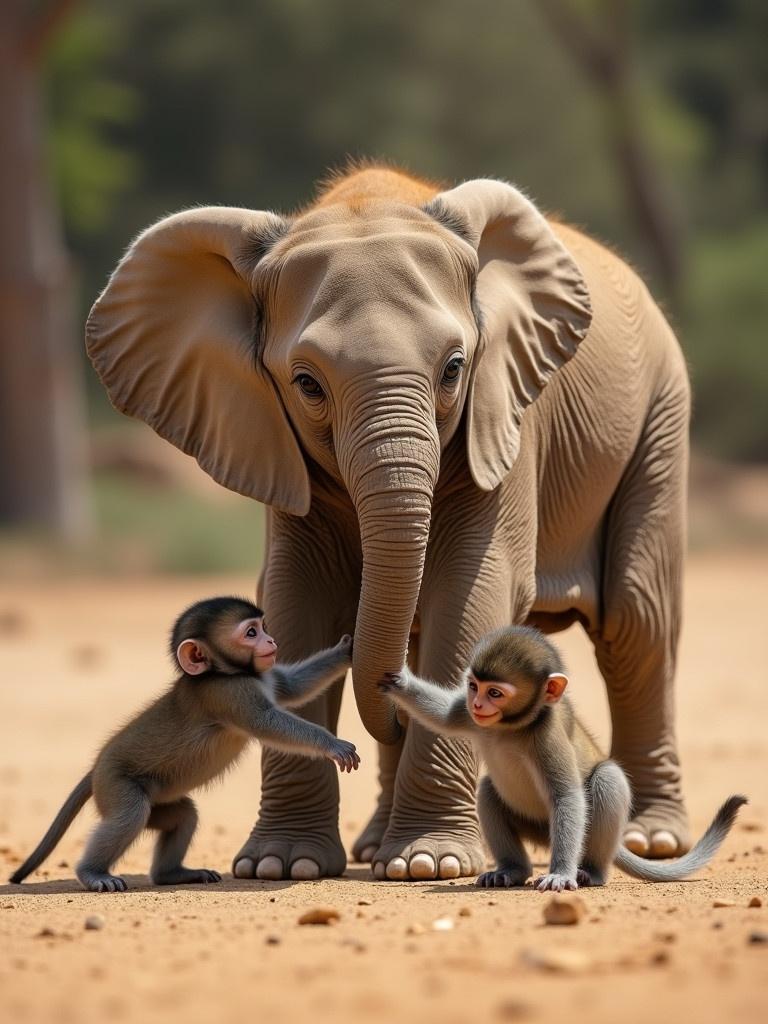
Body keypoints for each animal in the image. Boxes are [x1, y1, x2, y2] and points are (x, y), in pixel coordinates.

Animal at [11, 598, 360, 892]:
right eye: (251, 633)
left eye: (264, 628)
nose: (271, 642)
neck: (220, 673)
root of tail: (95, 769)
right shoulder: (228, 694)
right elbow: (268, 723)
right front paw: (333, 745)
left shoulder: (263, 677)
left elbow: (292, 686)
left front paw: (345, 652)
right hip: (114, 784)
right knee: (131, 814)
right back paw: (93, 873)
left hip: (158, 800)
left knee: (183, 816)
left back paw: (171, 874)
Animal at [382, 622, 749, 888]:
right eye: (474, 686)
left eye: (495, 693)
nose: (478, 705)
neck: (511, 728)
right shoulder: (473, 720)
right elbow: (444, 716)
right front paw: (398, 681)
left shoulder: (548, 739)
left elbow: (568, 796)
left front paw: (560, 874)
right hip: (534, 827)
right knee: (488, 790)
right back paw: (511, 870)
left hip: (565, 832)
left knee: (607, 779)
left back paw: (590, 872)